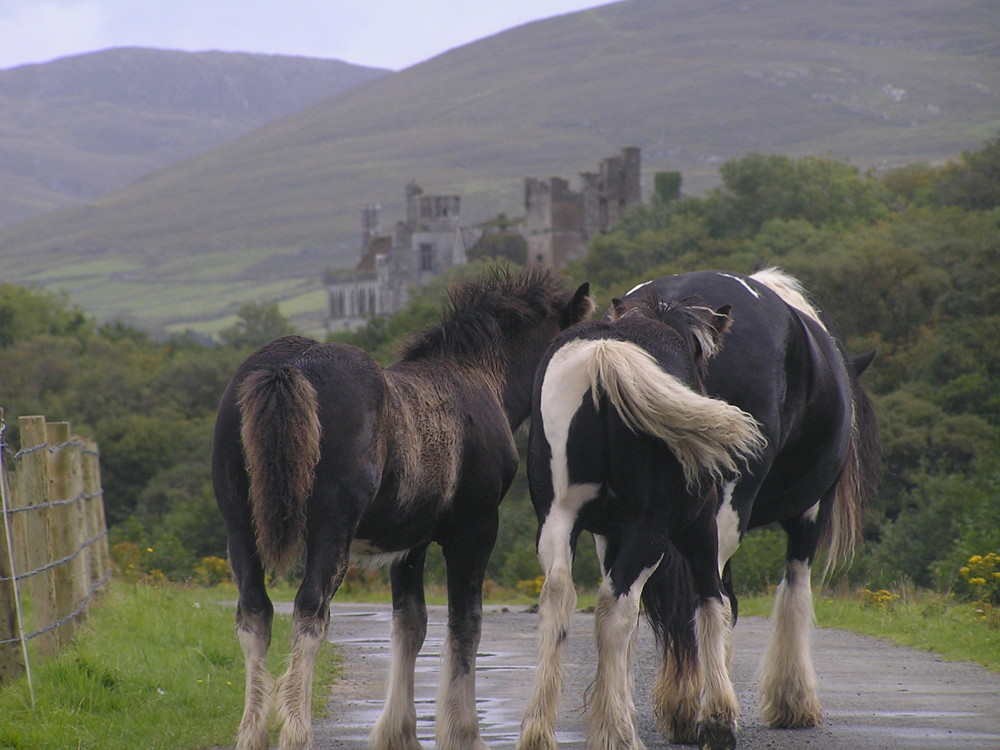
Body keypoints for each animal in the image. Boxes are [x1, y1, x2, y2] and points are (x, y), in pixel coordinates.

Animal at [209, 266, 584, 750]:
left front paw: (399, 733)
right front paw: (463, 733)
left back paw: (253, 733)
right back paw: (296, 731)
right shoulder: (476, 527)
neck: (480, 377)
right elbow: (465, 623)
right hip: (331, 527)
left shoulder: (410, 541)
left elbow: (411, 624)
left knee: (255, 611)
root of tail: (286, 366)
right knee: (310, 607)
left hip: (239, 522)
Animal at [520, 270, 880, 750]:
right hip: (685, 521)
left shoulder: (611, 530)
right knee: (636, 606)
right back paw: (641, 726)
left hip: (562, 521)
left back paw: (547, 730)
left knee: (563, 598)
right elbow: (768, 595)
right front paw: (777, 704)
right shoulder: (798, 517)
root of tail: (605, 354)